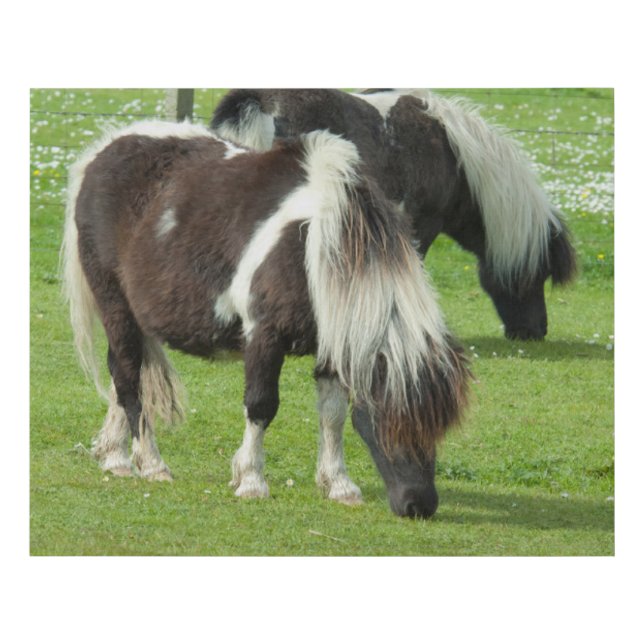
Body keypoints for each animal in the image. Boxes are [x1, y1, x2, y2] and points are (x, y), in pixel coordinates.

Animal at [61, 119, 471, 519]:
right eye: (388, 420)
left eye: (440, 427)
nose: (419, 505)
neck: (314, 246)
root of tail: (103, 152)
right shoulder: (264, 335)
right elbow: (261, 406)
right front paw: (251, 481)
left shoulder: (334, 342)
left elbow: (333, 414)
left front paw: (339, 485)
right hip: (114, 303)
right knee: (128, 375)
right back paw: (149, 463)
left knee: (124, 375)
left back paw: (114, 455)